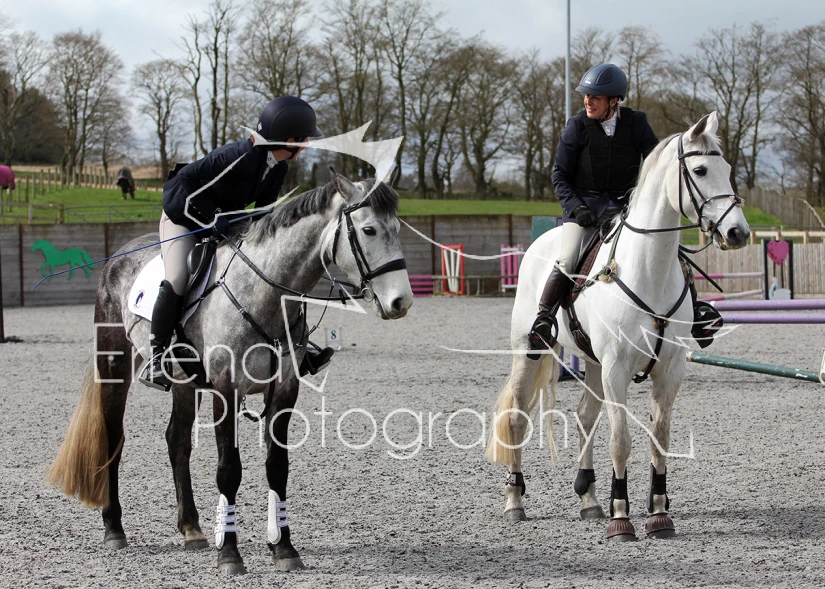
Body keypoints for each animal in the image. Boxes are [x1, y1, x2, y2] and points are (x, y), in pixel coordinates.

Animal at [47, 170, 414, 573]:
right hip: (114, 363)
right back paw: (114, 528)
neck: (265, 295)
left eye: (397, 228)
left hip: (184, 381)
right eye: (368, 230)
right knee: (113, 436)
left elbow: (277, 466)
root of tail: (118, 256)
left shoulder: (284, 390)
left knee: (177, 440)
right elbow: (229, 469)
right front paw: (230, 555)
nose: (401, 302)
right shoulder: (226, 389)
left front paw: (283, 548)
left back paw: (192, 530)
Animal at [485, 112, 751, 541]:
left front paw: (658, 513)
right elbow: (621, 441)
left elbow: (659, 439)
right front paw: (621, 518)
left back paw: (589, 499)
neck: (650, 269)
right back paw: (515, 502)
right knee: (516, 417)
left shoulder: (669, 369)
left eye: (727, 170)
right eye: (699, 170)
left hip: (593, 362)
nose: (738, 233)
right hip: (532, 351)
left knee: (584, 417)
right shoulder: (617, 368)